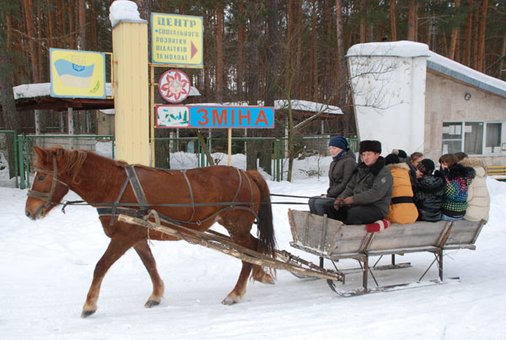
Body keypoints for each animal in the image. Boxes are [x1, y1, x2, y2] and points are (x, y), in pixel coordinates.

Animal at [24, 147, 276, 318]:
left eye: (42, 176)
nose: (28, 211)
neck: (113, 185)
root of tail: (248, 174)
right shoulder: (136, 238)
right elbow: (150, 264)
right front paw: (156, 296)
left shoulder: (123, 237)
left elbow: (101, 267)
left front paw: (89, 305)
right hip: (237, 227)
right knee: (255, 248)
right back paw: (260, 274)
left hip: (237, 226)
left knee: (250, 251)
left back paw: (236, 293)